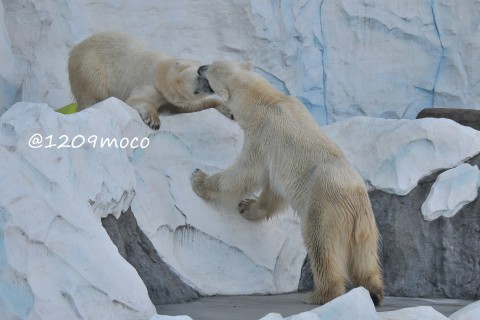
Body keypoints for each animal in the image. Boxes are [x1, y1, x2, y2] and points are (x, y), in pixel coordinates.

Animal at [68, 31, 232, 129]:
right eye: (199, 72)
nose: (210, 87)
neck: (162, 70)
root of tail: (75, 49)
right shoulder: (150, 84)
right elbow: (137, 100)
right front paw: (154, 120)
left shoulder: (173, 98)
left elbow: (192, 106)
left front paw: (229, 111)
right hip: (90, 68)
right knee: (94, 93)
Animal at [190, 60, 382, 308]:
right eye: (212, 62)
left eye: (208, 71)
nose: (199, 67)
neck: (266, 100)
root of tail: (355, 201)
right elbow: (273, 192)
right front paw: (246, 206)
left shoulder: (262, 138)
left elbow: (246, 173)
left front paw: (200, 179)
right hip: (366, 227)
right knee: (364, 259)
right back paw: (374, 291)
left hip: (324, 210)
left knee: (320, 246)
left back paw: (320, 295)